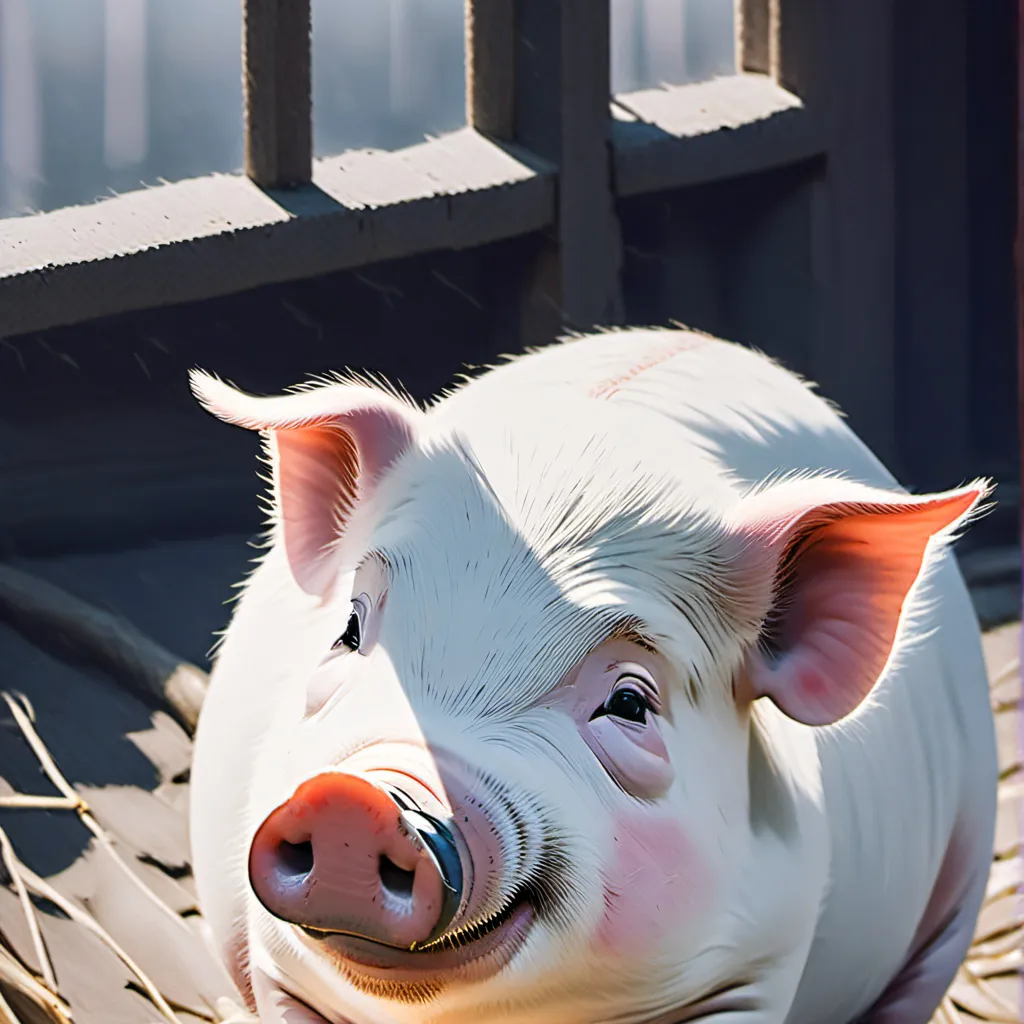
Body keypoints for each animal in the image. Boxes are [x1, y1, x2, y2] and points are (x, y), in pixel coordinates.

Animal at [187, 327, 998, 1024]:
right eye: (350, 632)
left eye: (630, 701)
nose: (352, 800)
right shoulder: (280, 964)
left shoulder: (758, 963)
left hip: (960, 878)